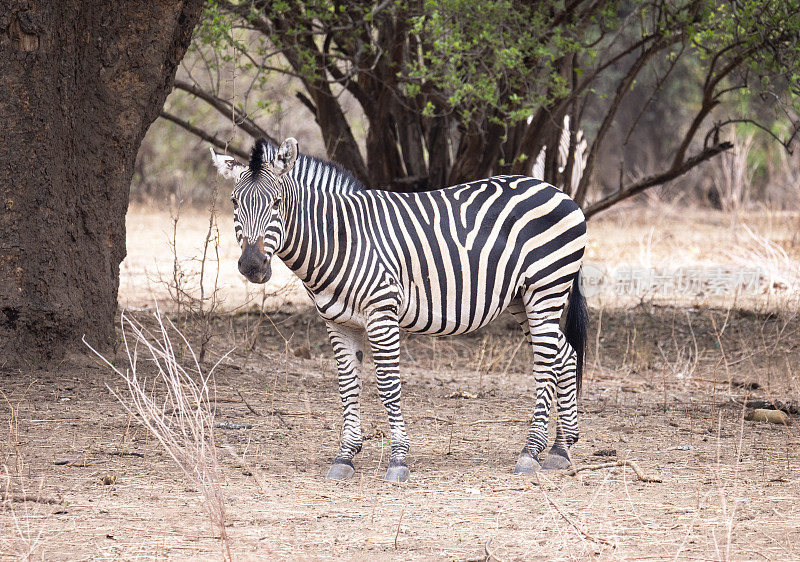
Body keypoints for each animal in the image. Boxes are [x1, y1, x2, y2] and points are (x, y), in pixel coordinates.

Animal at [211, 137, 588, 482]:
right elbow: (348, 387)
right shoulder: (338, 322)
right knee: (565, 355)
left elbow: (388, 386)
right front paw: (345, 455)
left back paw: (530, 452)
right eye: (234, 202)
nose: (252, 266)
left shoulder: (382, 314)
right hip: (522, 299)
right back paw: (560, 449)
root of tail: (557, 190)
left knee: (547, 364)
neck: (341, 239)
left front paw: (398, 458)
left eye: (277, 203)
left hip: (546, 289)